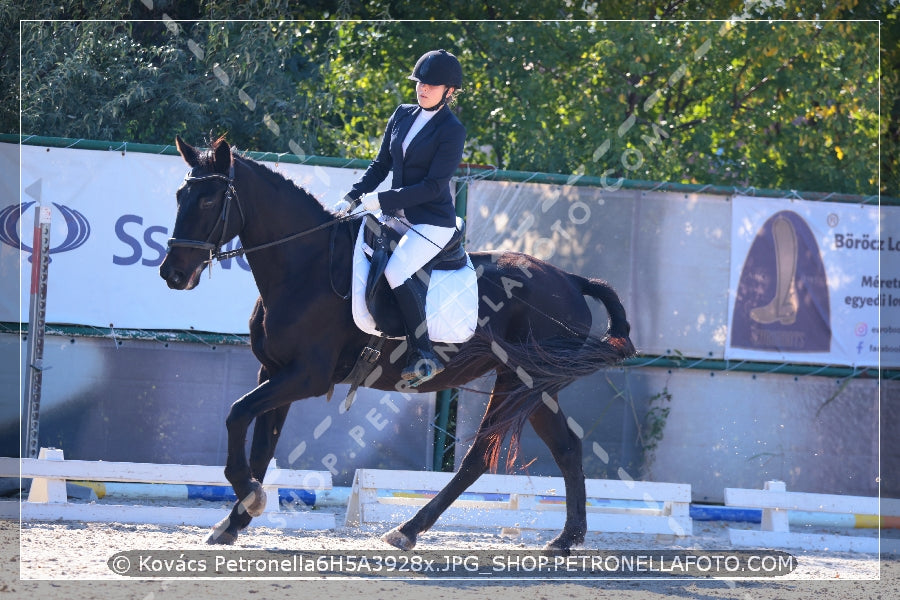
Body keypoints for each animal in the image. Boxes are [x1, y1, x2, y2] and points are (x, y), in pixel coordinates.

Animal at [158, 136, 636, 552]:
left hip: (525, 382)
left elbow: (237, 414)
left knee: (490, 455)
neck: (304, 268)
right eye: (180, 196)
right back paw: (563, 539)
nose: (172, 274)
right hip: (529, 387)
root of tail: (570, 280)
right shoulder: (274, 372)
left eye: (208, 200)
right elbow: (261, 449)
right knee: (558, 448)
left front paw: (249, 498)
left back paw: (413, 531)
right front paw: (234, 521)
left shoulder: (305, 376)